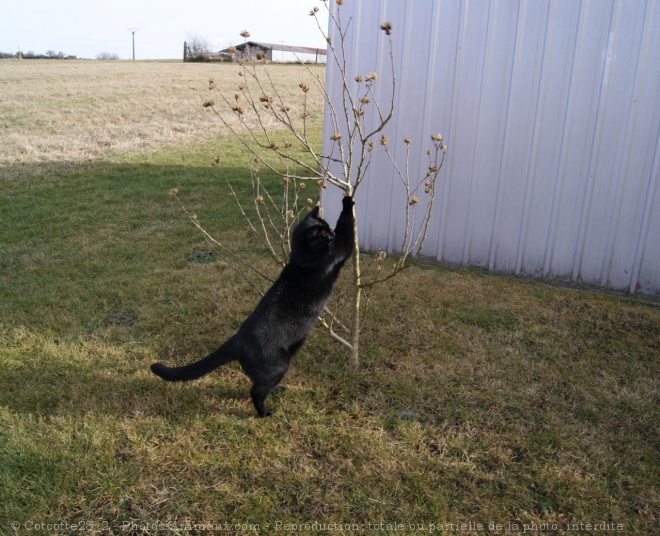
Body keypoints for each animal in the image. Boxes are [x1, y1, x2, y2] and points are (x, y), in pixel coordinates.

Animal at [151, 195, 356, 416]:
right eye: (324, 233)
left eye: (328, 227)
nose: (331, 233)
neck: (301, 258)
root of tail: (238, 339)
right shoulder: (338, 250)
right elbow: (346, 227)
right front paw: (348, 200)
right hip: (278, 367)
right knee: (256, 391)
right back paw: (264, 413)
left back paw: (277, 391)